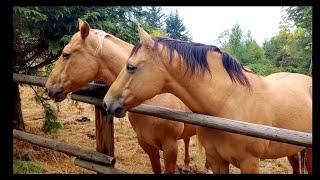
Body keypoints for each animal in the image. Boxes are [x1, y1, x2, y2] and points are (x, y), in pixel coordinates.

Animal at [44, 19, 200, 173]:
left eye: (66, 54)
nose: (48, 87)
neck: (153, 100)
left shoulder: (170, 147)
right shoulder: (147, 145)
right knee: (187, 140)